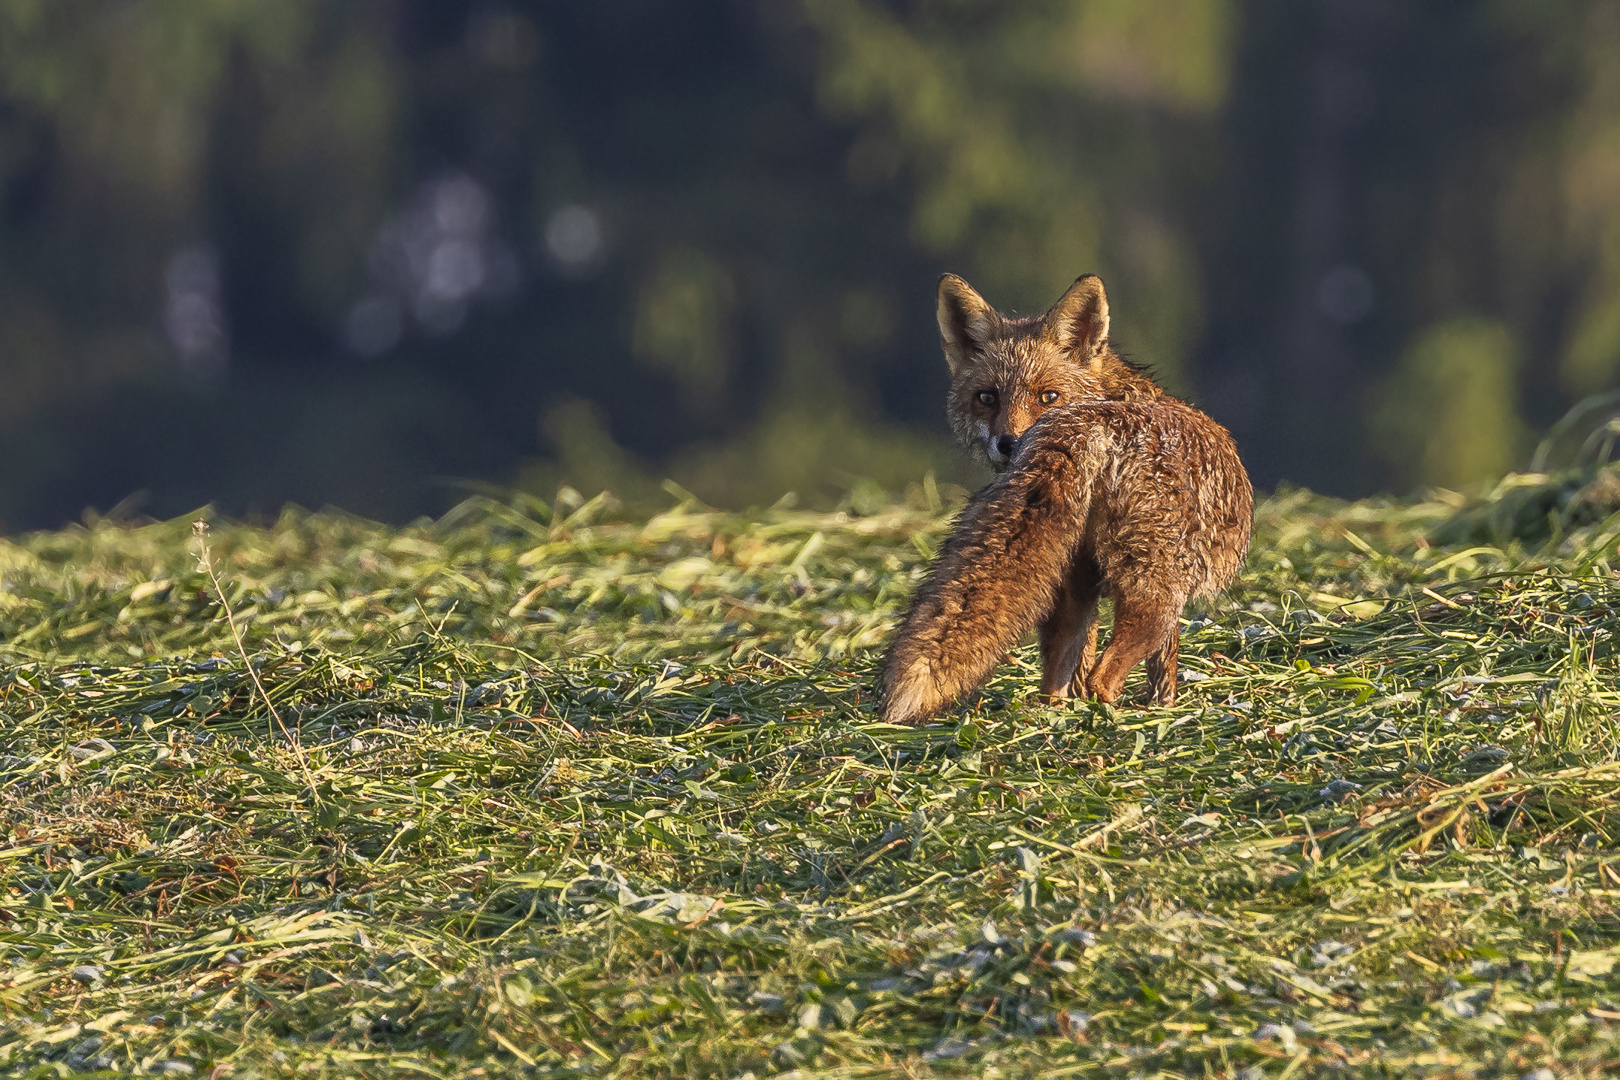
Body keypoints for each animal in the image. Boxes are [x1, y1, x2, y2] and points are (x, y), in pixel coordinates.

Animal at [887, 276, 1250, 725]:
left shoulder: (1083, 583)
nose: (1010, 443)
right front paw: (1164, 707)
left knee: (1055, 683)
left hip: (1069, 582)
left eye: (1048, 396)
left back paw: (1056, 715)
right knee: (1104, 674)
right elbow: (1164, 669)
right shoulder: (1172, 592)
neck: (1116, 396)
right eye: (987, 398)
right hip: (1156, 589)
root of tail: (1091, 423)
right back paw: (1120, 715)